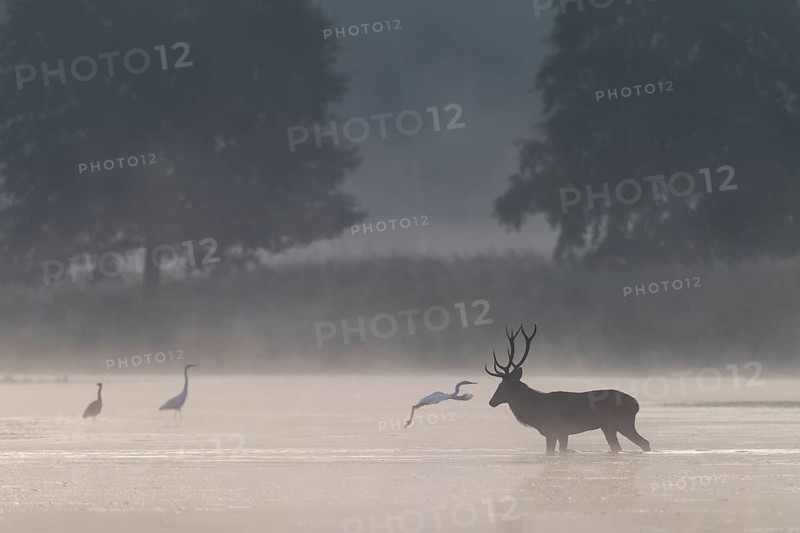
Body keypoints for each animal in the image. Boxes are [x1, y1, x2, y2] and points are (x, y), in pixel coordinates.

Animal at [485, 324, 651, 454]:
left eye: (501, 386)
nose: (491, 402)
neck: (535, 411)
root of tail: (636, 404)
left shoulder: (552, 430)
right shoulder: (563, 433)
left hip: (623, 423)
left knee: (644, 442)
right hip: (609, 427)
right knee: (619, 447)